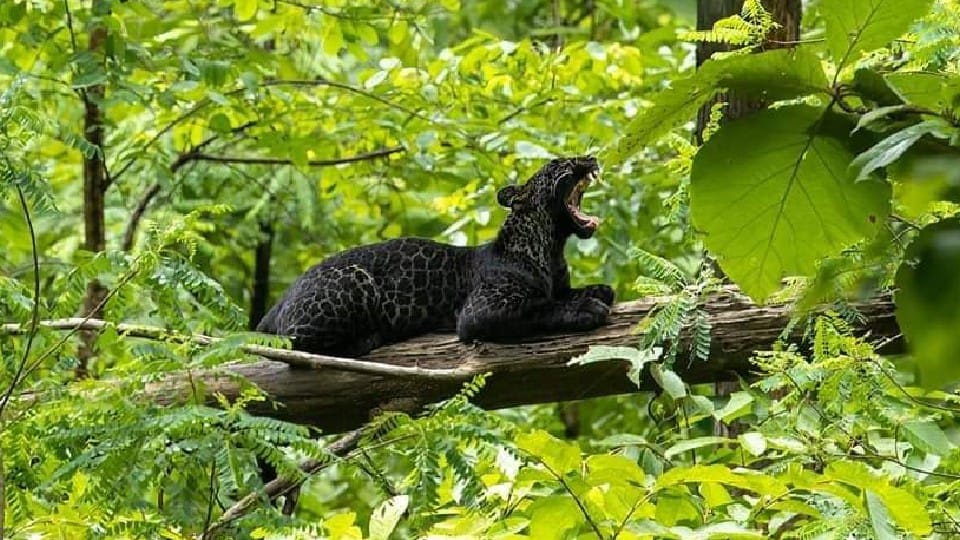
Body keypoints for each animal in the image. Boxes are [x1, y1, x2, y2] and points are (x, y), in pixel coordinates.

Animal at [256, 155, 615, 356]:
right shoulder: (482, 309)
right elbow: (540, 306)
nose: (590, 157)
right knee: (295, 345)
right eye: (557, 164)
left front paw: (597, 292)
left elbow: (581, 291)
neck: (552, 247)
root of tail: (279, 300)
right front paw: (586, 309)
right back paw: (369, 338)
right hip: (354, 280)